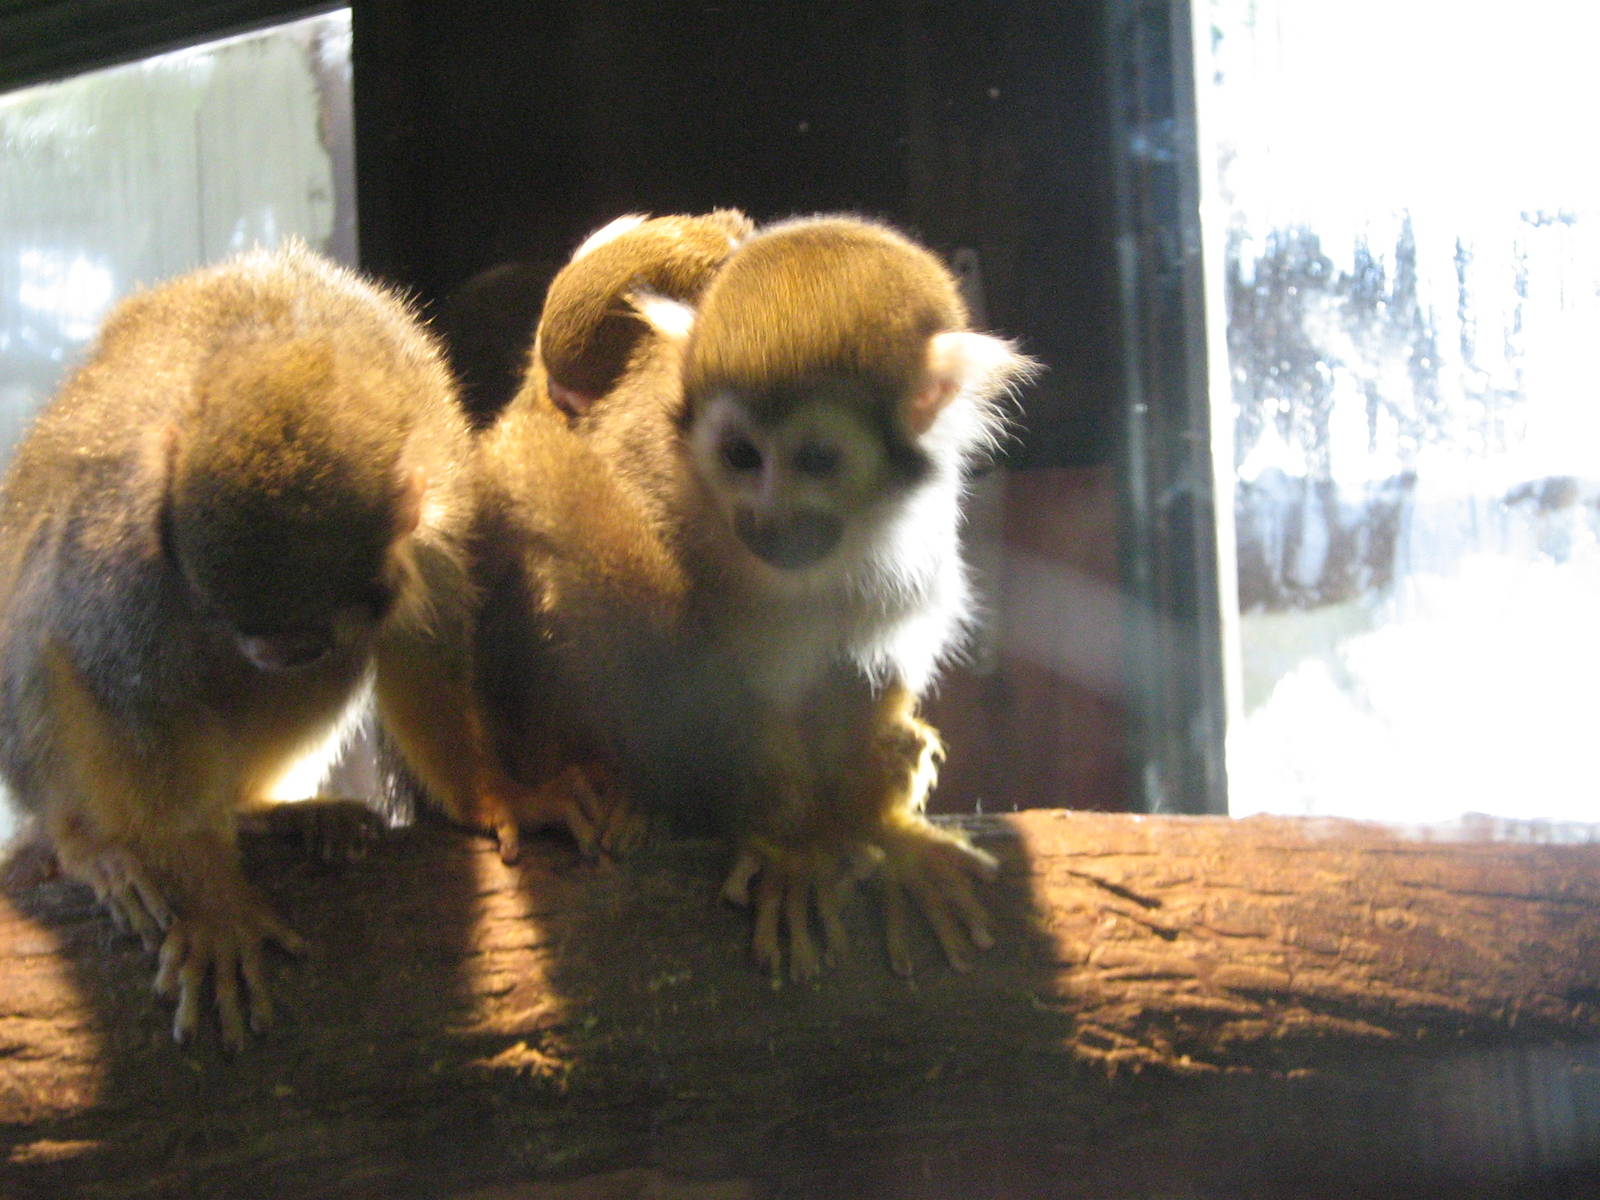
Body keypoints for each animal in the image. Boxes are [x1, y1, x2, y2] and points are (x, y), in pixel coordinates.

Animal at [0, 244, 603, 1048]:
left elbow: (424, 648)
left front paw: (495, 793)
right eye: (230, 616)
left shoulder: (437, 495)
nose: (271, 655)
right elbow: (128, 691)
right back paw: (88, 843)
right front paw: (211, 897)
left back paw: (264, 811)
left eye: (300, 629)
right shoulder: (123, 544)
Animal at [499, 212, 1036, 978]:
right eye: (740, 457)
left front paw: (881, 828)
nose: (765, 521)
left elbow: (869, 662)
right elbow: (716, 682)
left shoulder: (922, 522)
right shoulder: (663, 494)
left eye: (815, 461)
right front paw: (793, 846)